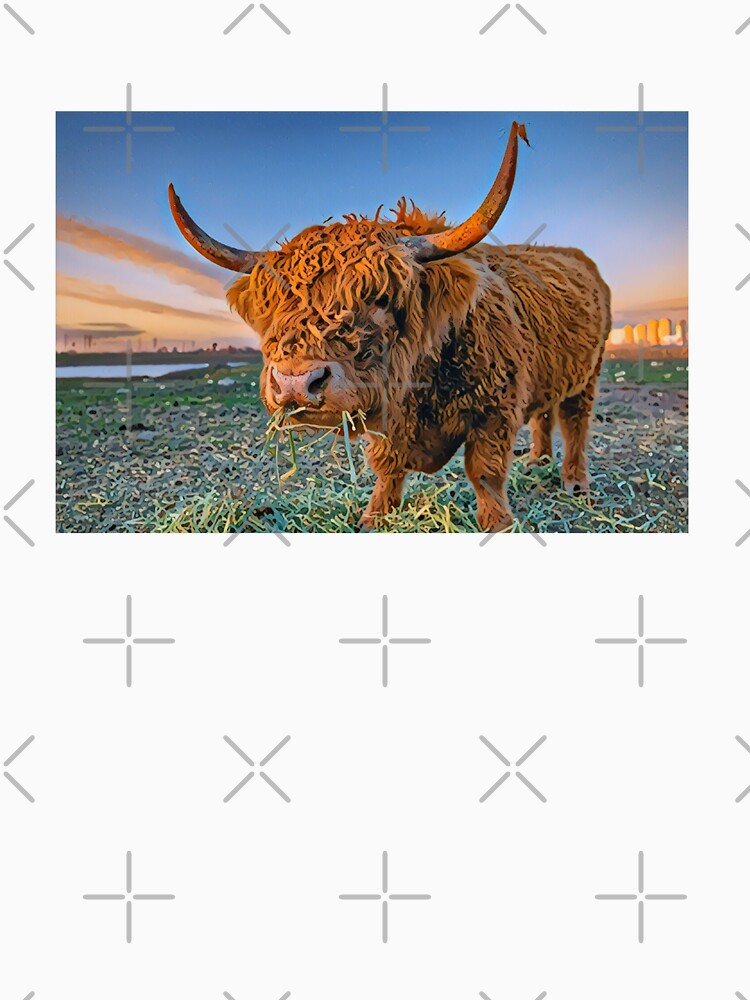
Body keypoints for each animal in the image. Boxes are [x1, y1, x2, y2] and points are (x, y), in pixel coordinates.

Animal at [168, 122, 611, 532]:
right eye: (277, 303)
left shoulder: (494, 410)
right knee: (545, 415)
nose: (295, 383)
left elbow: (485, 471)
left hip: (588, 374)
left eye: (380, 298)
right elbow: (388, 466)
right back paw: (538, 460)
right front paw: (375, 517)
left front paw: (498, 524)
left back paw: (575, 482)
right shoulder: (389, 425)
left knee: (574, 421)